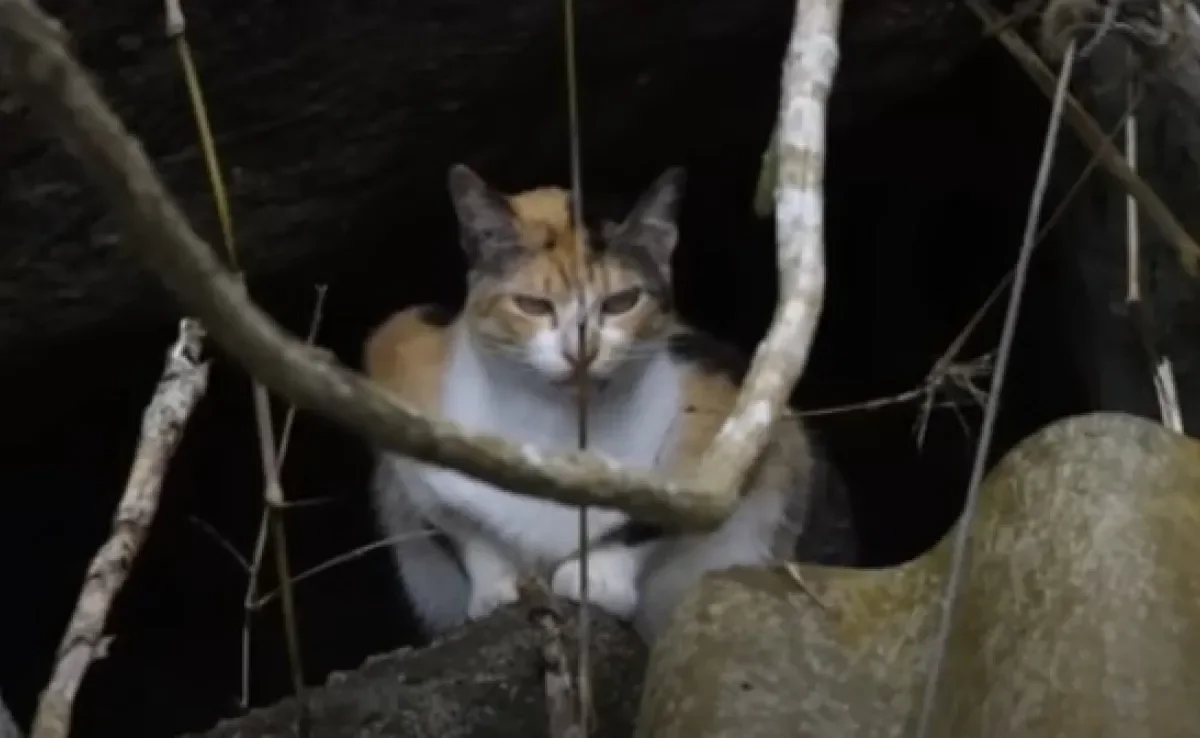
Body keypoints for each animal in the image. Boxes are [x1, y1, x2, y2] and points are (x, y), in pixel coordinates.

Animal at [362, 163, 816, 643]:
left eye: (621, 302)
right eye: (532, 305)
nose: (581, 351)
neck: (553, 430)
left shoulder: (719, 397)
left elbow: (662, 512)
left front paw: (594, 578)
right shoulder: (397, 358)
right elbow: (459, 527)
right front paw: (494, 589)